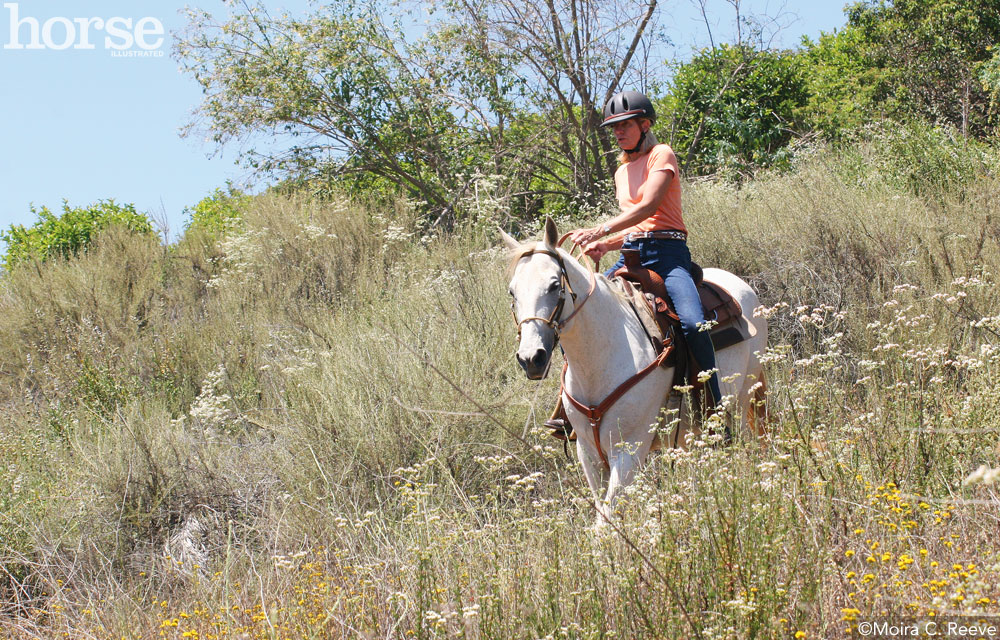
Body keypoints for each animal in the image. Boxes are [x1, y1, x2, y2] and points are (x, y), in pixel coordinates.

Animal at [504, 218, 768, 524]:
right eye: (512, 291)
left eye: (554, 285)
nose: (531, 358)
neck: (598, 359)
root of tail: (742, 286)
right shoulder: (588, 453)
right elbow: (602, 515)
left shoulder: (628, 450)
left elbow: (607, 519)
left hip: (740, 402)